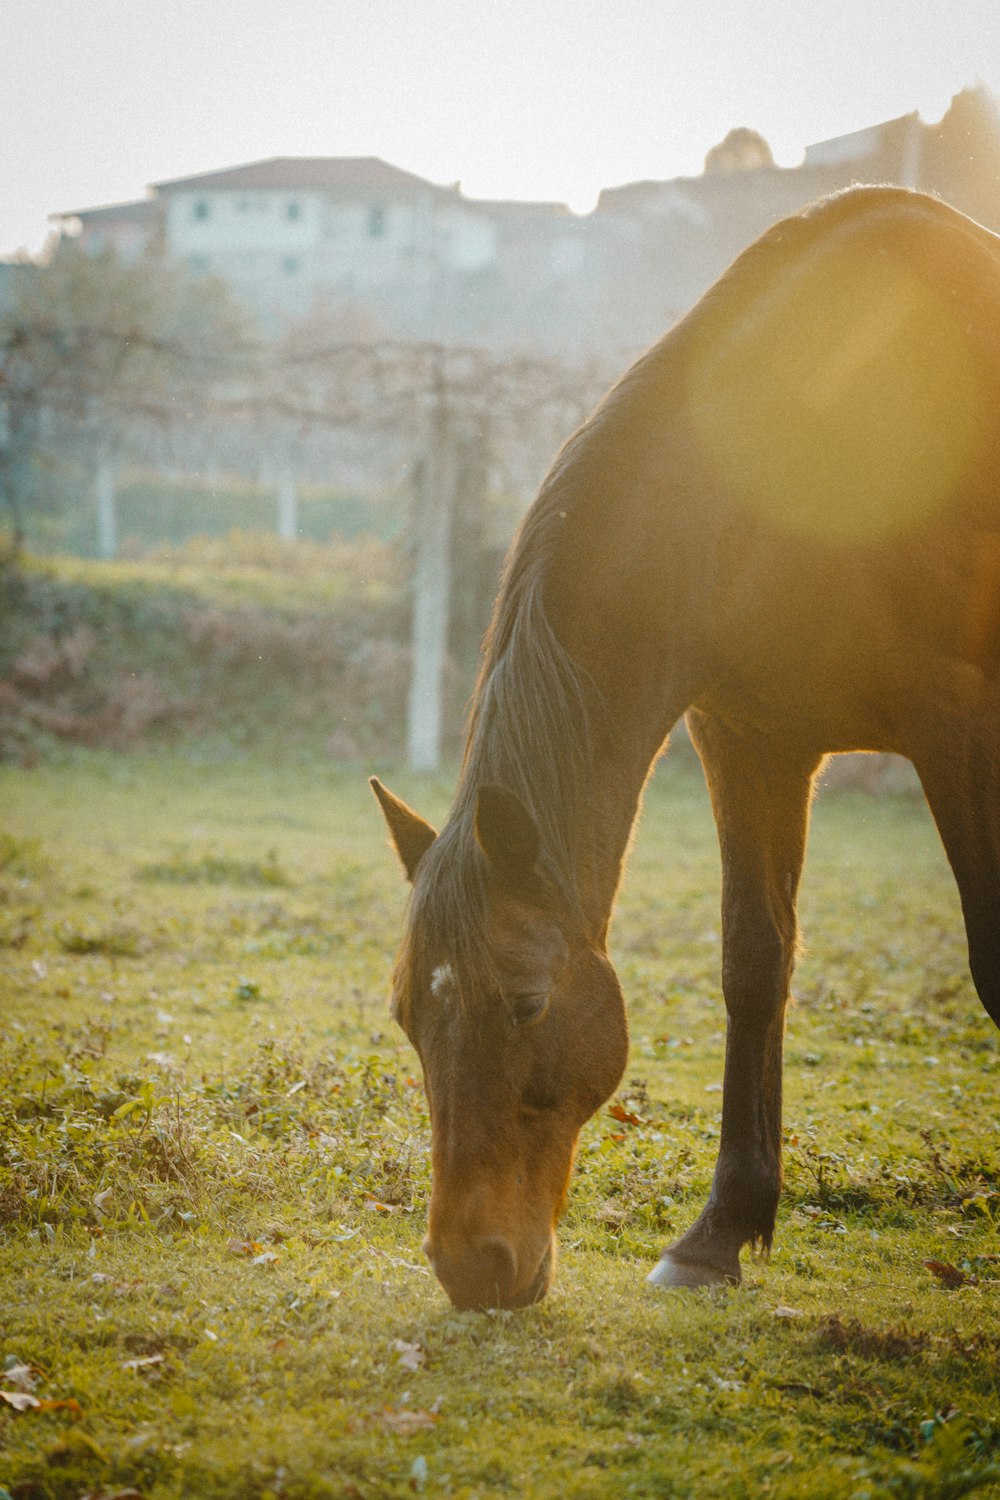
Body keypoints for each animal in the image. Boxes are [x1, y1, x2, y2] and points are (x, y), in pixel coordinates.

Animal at [370, 190, 1000, 1314]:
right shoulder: (752, 738)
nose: (471, 1266)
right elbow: (753, 962)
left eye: (526, 1002)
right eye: (406, 1015)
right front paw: (720, 1232)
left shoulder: (957, 724)